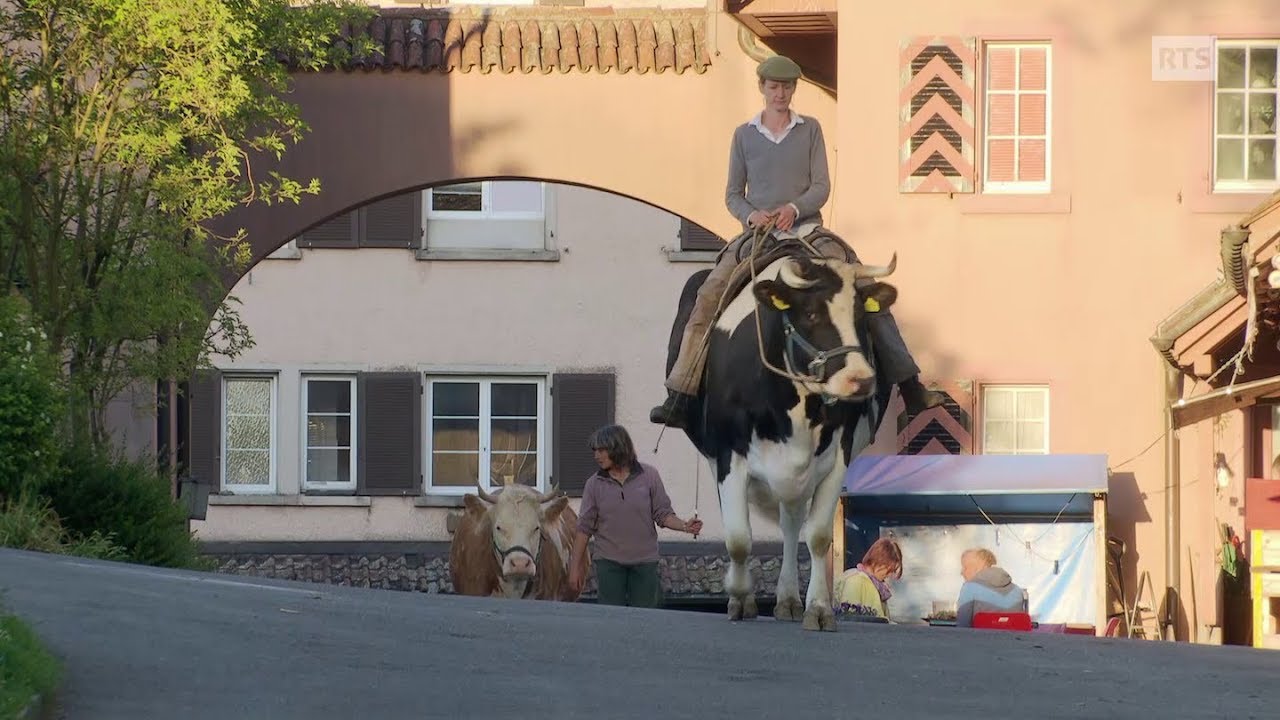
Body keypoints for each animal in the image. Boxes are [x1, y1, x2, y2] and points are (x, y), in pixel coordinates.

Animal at [665, 245, 896, 627]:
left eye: (862, 316)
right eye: (812, 313)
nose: (860, 379)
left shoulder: (838, 458)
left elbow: (817, 537)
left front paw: (818, 609)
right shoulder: (729, 456)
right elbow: (738, 538)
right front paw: (740, 599)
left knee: (791, 524)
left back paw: (788, 599)